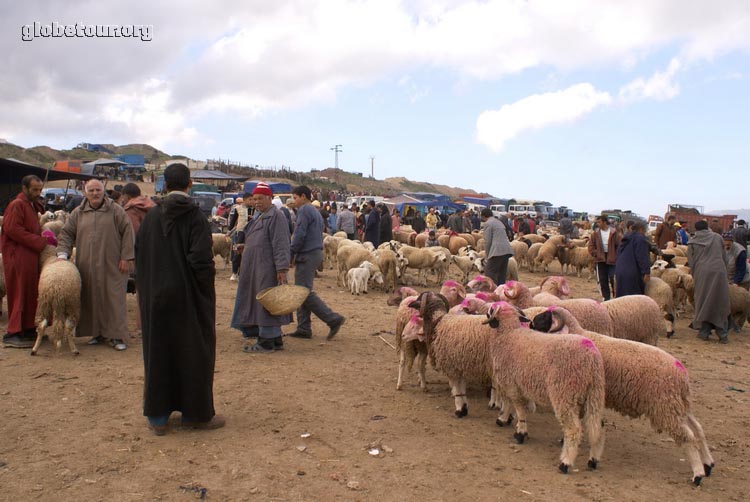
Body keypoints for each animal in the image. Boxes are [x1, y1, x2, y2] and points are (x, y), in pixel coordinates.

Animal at [484, 302, 608, 474]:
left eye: (491, 309)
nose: (486, 309)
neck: (508, 334)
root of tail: (591, 356)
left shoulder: (511, 383)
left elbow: (516, 406)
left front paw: (517, 430)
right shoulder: (518, 384)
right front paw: (508, 420)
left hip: (564, 393)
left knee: (574, 429)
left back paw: (565, 462)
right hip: (594, 393)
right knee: (597, 427)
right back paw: (593, 460)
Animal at [536, 306, 716, 486]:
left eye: (545, 317)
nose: (531, 323)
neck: (578, 333)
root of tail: (681, 372)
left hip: (666, 409)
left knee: (688, 438)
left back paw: (697, 475)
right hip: (678, 406)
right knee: (698, 430)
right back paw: (708, 464)